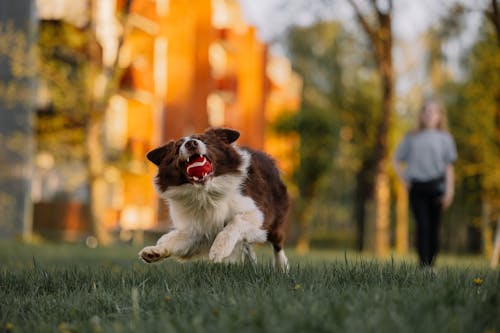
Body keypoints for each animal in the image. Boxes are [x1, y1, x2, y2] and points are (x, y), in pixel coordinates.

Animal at [139, 127, 292, 270]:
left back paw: (282, 267)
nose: (191, 144)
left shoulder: (258, 213)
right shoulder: (198, 229)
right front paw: (154, 251)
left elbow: (235, 222)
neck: (206, 192)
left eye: (204, 140)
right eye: (177, 148)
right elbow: (177, 238)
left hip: (276, 216)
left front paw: (219, 249)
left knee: (277, 243)